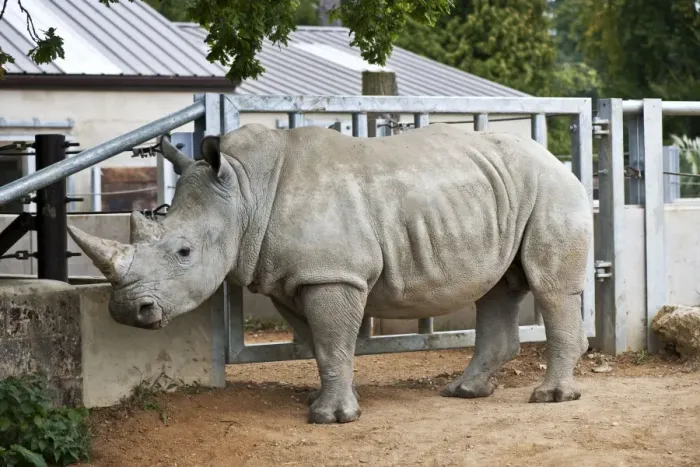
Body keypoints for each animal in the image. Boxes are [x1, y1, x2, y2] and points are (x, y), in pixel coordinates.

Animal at [67, 122, 593, 424]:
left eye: (183, 251)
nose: (127, 310)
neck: (243, 191)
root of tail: (556, 159)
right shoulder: (290, 277)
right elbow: (319, 344)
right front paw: (327, 405)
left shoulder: (332, 274)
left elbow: (332, 339)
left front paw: (331, 419)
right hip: (500, 192)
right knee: (498, 288)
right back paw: (464, 393)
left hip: (551, 188)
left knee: (549, 286)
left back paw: (552, 398)